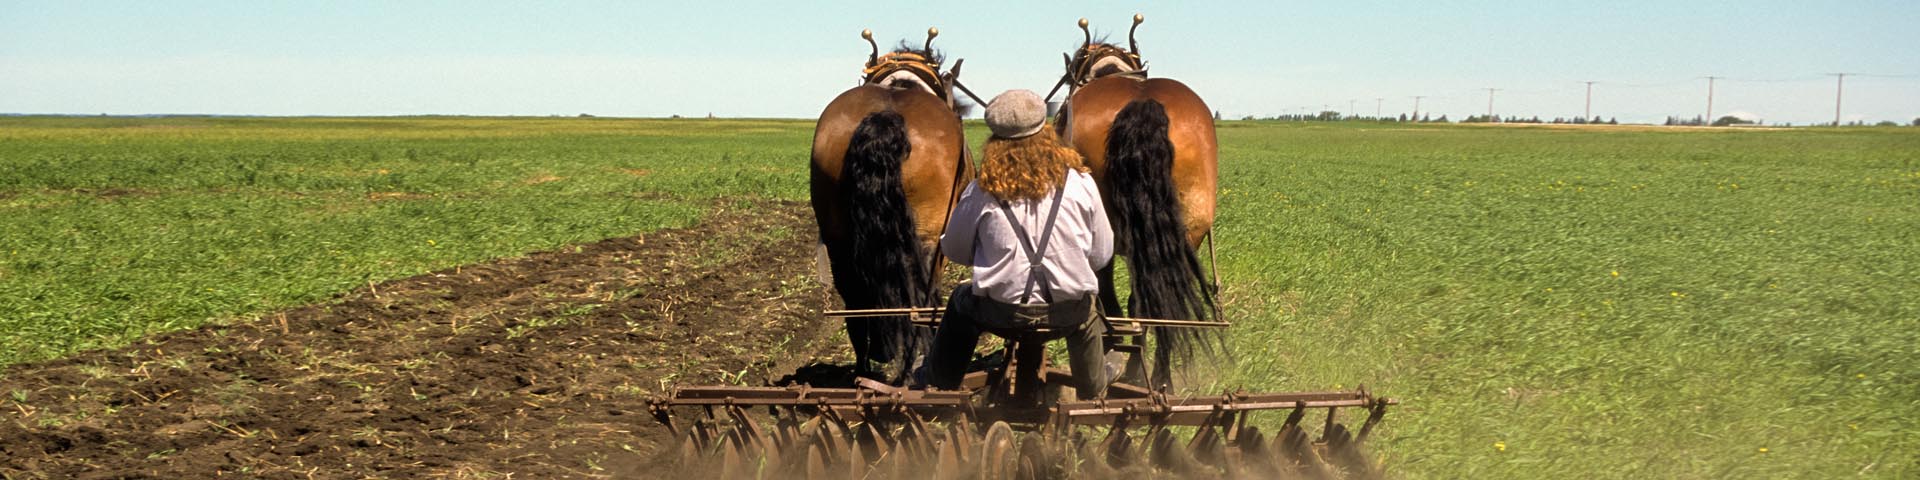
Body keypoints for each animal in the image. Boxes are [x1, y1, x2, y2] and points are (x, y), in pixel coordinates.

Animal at [810, 29, 975, 382]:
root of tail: (886, 115)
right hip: (927, 237)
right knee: (918, 299)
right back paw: (914, 365)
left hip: (838, 240)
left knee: (855, 307)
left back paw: (865, 370)